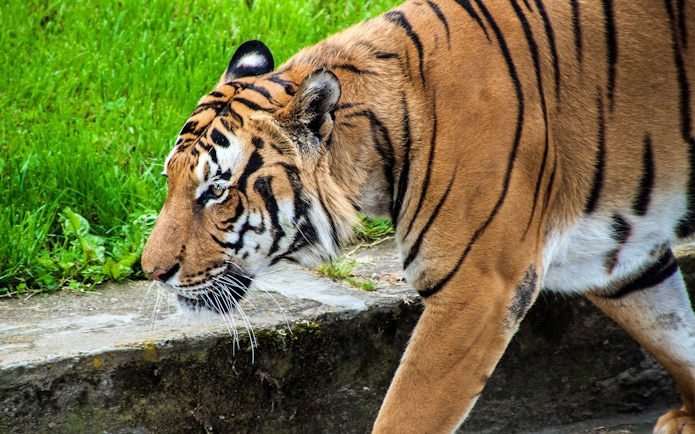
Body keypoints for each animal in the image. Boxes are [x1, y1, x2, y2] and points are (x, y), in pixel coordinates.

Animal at [140, 0, 695, 432]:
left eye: (216, 190)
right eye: (169, 179)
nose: (151, 272)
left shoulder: (478, 287)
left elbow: (407, 412)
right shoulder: (615, 253)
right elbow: (676, 334)